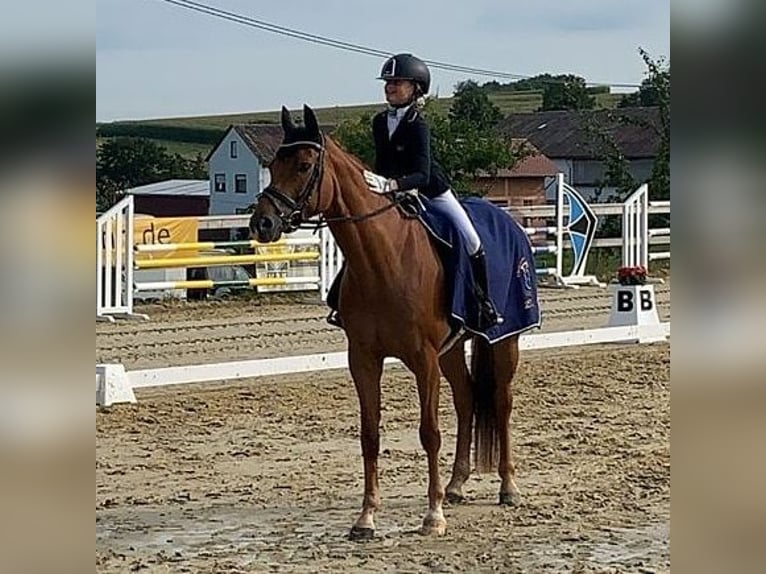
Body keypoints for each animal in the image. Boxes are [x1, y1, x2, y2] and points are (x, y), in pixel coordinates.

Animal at [252, 106, 528, 544]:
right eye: (274, 164)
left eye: (304, 165)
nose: (262, 224)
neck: (382, 259)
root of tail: (510, 219)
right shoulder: (364, 358)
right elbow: (370, 434)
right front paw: (366, 517)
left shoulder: (423, 359)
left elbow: (429, 433)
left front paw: (432, 516)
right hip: (452, 350)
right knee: (467, 398)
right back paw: (456, 485)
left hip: (505, 339)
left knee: (501, 402)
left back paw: (508, 487)